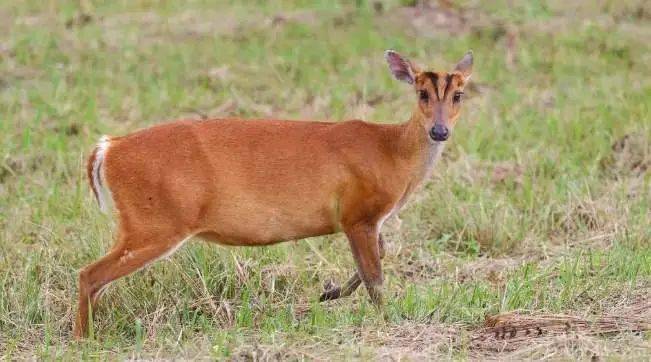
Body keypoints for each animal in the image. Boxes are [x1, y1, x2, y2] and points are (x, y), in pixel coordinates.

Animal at [75, 49, 474, 338]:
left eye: (459, 94)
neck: (392, 152)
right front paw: (387, 319)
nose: (439, 131)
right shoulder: (358, 214)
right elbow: (375, 276)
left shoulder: (365, 218)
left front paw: (328, 292)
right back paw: (84, 339)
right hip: (155, 222)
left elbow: (377, 259)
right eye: (422, 92)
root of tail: (108, 148)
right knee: (89, 274)